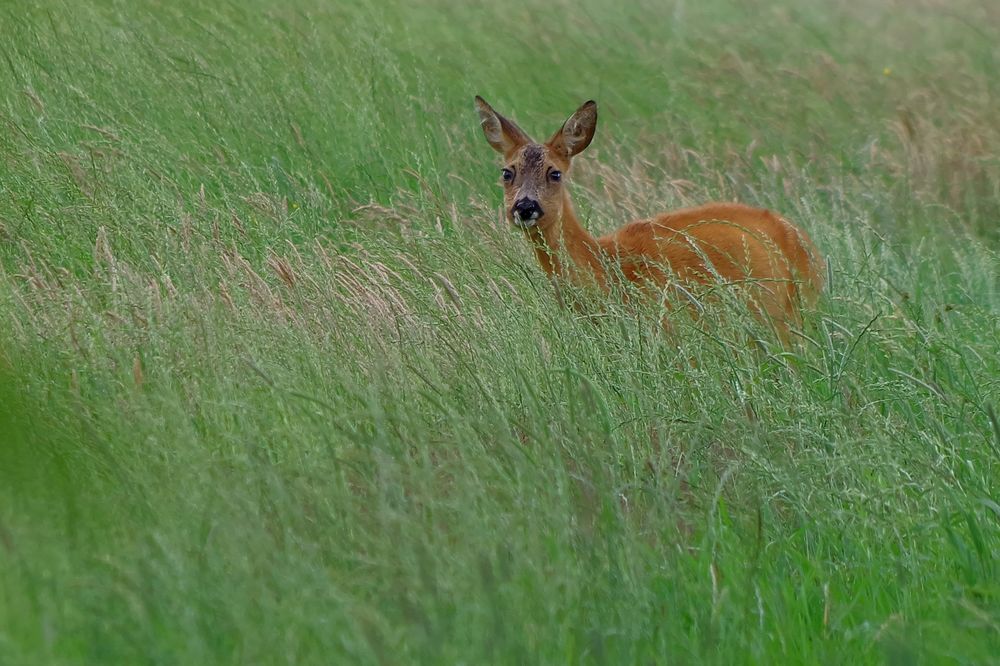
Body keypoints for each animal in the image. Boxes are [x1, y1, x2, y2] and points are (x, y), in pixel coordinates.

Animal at [476, 94, 828, 338]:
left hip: (789, 314)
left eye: (555, 173)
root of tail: (802, 239)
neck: (606, 265)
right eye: (507, 172)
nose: (525, 207)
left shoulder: (667, 324)